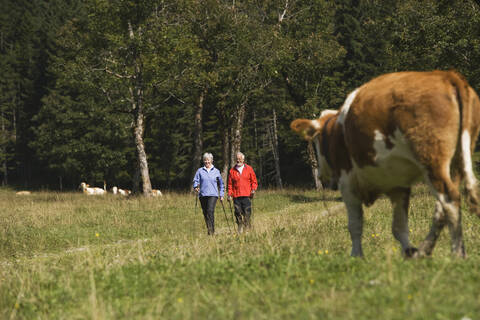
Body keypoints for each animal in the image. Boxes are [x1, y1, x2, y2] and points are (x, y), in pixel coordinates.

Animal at [288, 70, 480, 258]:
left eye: (316, 140)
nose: (321, 174)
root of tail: (447, 75)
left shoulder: (347, 182)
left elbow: (355, 224)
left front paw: (356, 256)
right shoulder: (399, 185)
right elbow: (399, 227)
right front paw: (408, 252)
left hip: (431, 159)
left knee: (450, 199)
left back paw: (457, 254)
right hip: (456, 162)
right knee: (441, 208)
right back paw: (424, 250)